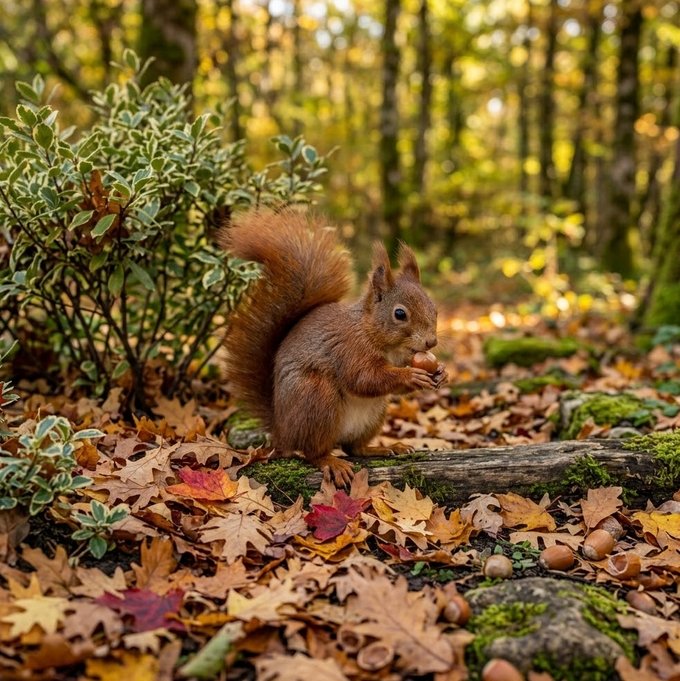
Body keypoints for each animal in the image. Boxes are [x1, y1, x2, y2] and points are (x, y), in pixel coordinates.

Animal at [222, 209, 447, 486]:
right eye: (400, 314)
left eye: (434, 308)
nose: (431, 342)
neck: (378, 338)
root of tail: (281, 431)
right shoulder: (349, 350)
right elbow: (364, 379)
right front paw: (411, 376)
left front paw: (441, 373)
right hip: (317, 398)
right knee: (312, 451)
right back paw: (331, 462)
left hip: (373, 414)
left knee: (353, 447)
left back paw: (383, 447)